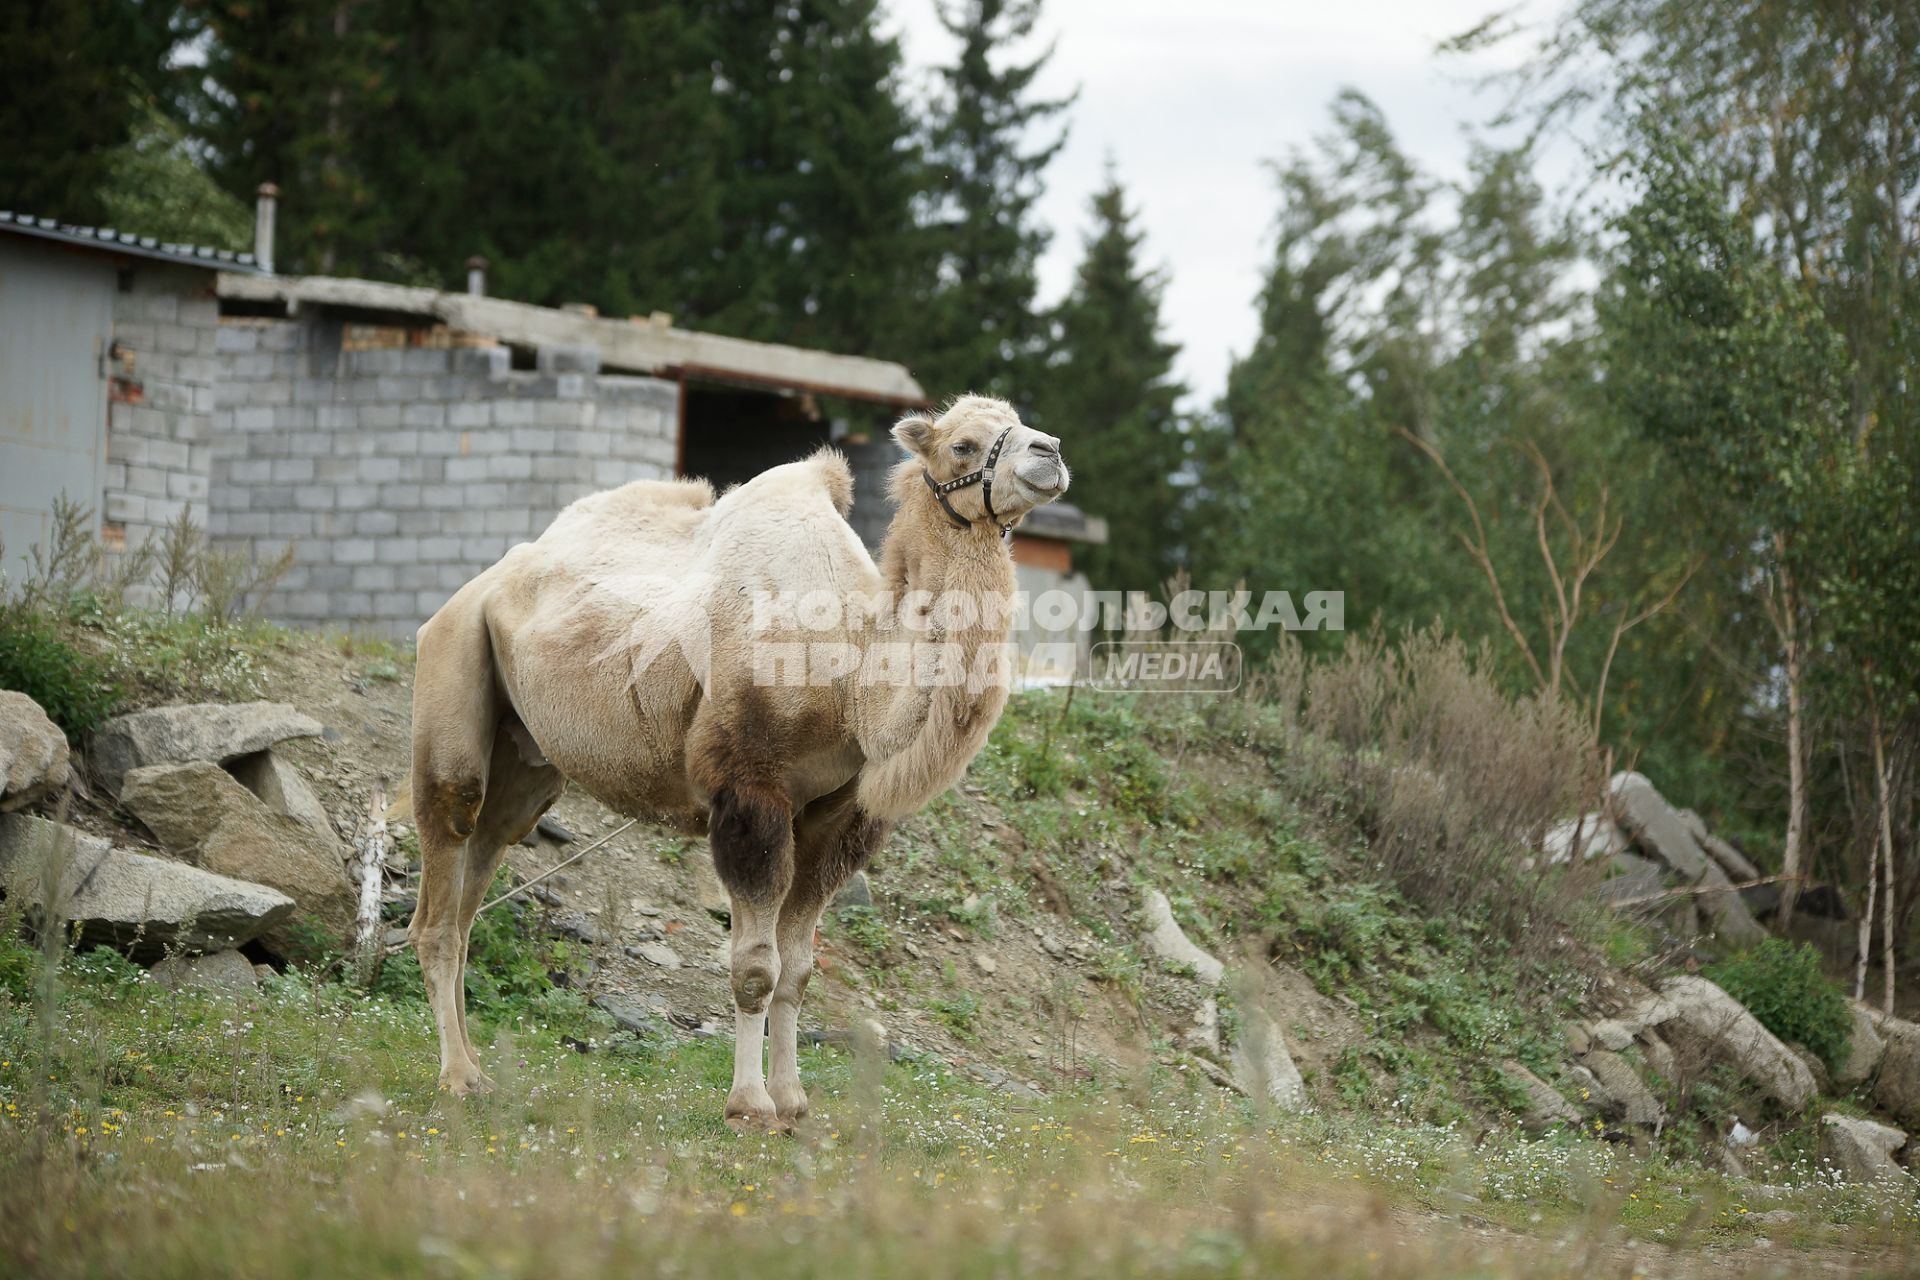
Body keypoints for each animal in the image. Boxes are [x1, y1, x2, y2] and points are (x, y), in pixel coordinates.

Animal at [405, 395, 1067, 1128]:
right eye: (964, 445)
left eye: (1021, 423)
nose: (1050, 453)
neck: (853, 679)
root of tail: (483, 583)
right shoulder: (750, 791)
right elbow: (756, 968)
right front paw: (750, 1105)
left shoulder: (837, 816)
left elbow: (799, 970)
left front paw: (794, 1103)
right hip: (454, 659)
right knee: (444, 869)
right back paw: (457, 1077)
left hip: (527, 756)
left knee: (482, 865)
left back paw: (479, 1071)